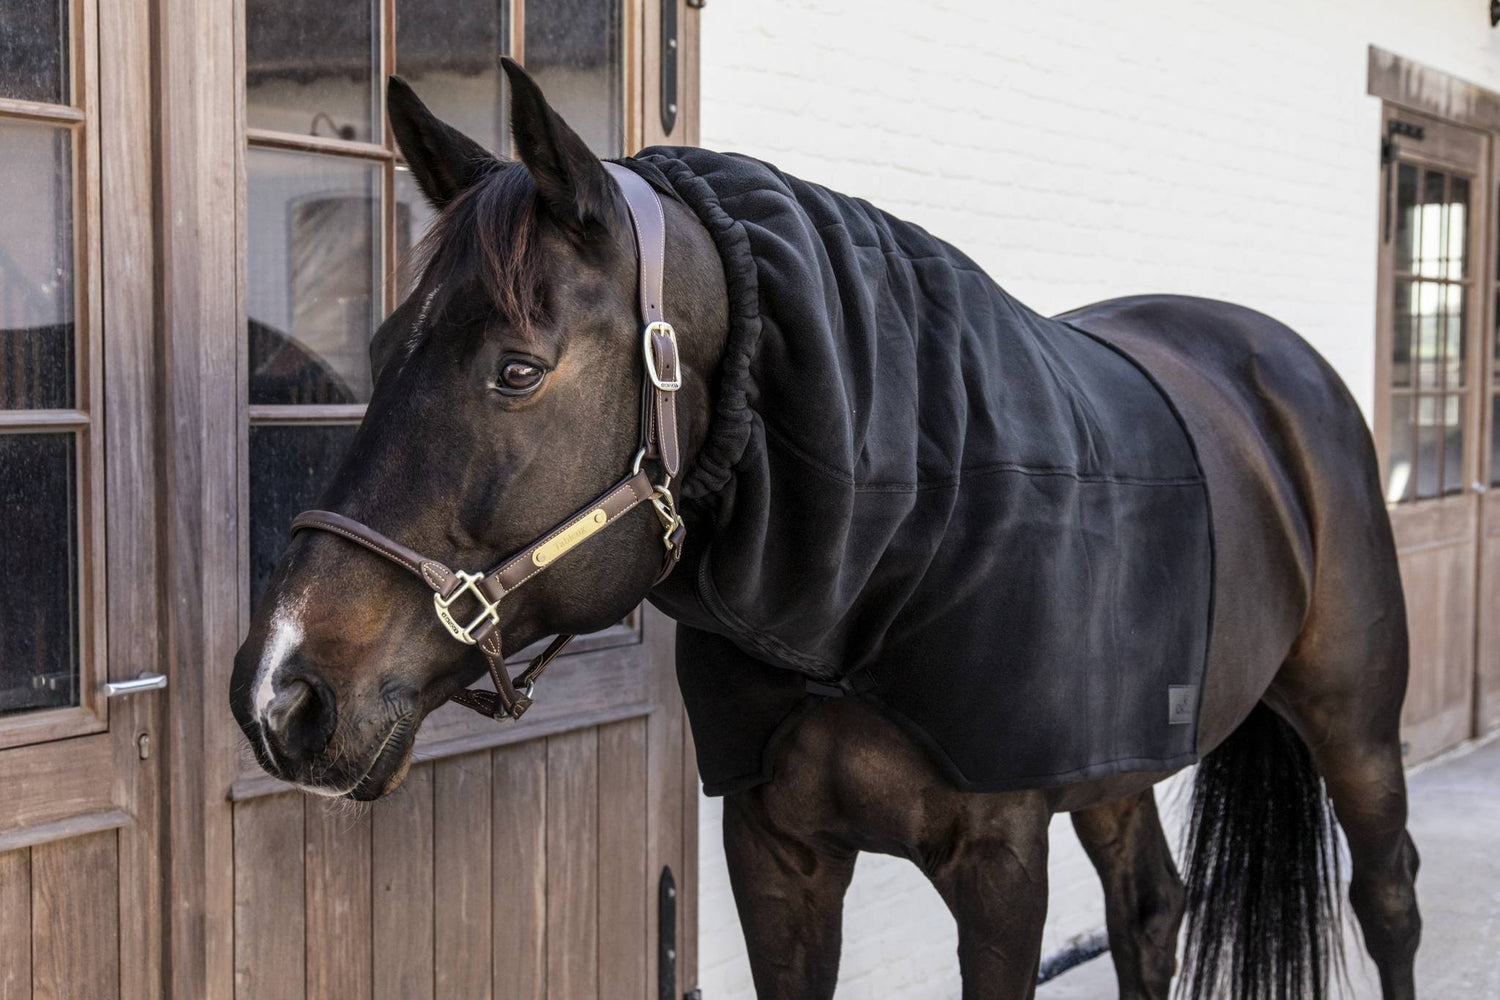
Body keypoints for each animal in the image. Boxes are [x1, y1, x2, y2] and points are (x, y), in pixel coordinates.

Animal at [225, 56, 1416, 1000]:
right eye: (380, 350)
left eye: (517, 370)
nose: (280, 693)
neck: (888, 560)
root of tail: (1278, 364)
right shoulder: (775, 856)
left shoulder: (1001, 868)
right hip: (1118, 768)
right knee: (1151, 913)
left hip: (1355, 729)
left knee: (1388, 901)